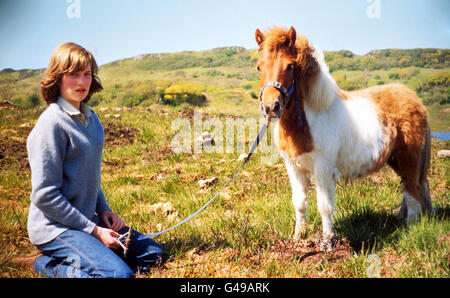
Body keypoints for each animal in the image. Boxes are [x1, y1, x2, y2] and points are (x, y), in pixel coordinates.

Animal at [253, 26, 432, 249]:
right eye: (259, 67)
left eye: (289, 66)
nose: (270, 107)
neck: (310, 119)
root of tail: (415, 99)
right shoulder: (293, 166)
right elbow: (299, 202)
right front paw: (298, 238)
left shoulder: (322, 168)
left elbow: (324, 206)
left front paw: (328, 242)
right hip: (396, 160)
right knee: (414, 190)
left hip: (409, 160)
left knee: (413, 192)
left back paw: (410, 229)